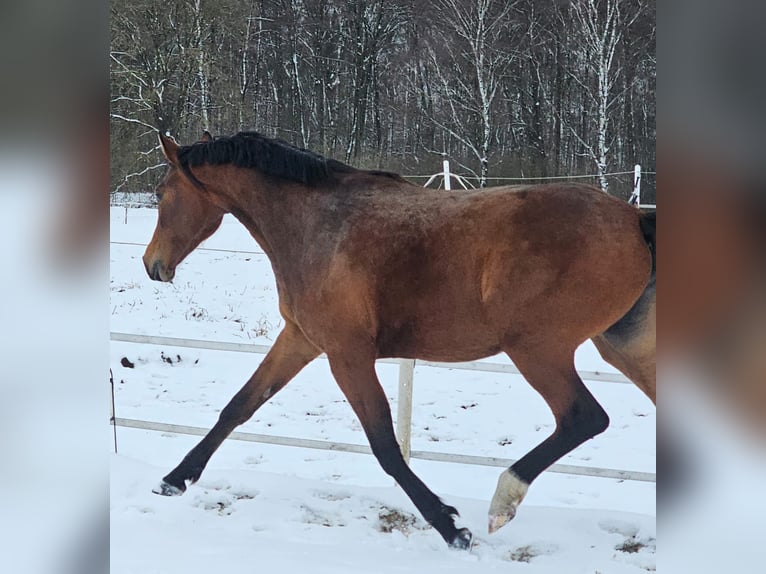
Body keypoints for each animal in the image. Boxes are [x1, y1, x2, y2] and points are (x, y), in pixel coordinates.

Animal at [142, 130, 656, 549]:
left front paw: (451, 527)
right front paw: (173, 480)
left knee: (583, 417)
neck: (315, 225)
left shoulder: (347, 354)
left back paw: (501, 504)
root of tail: (634, 217)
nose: (153, 265)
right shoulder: (301, 340)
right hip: (622, 350)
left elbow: (385, 445)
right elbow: (239, 406)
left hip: (538, 349)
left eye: (160, 192)